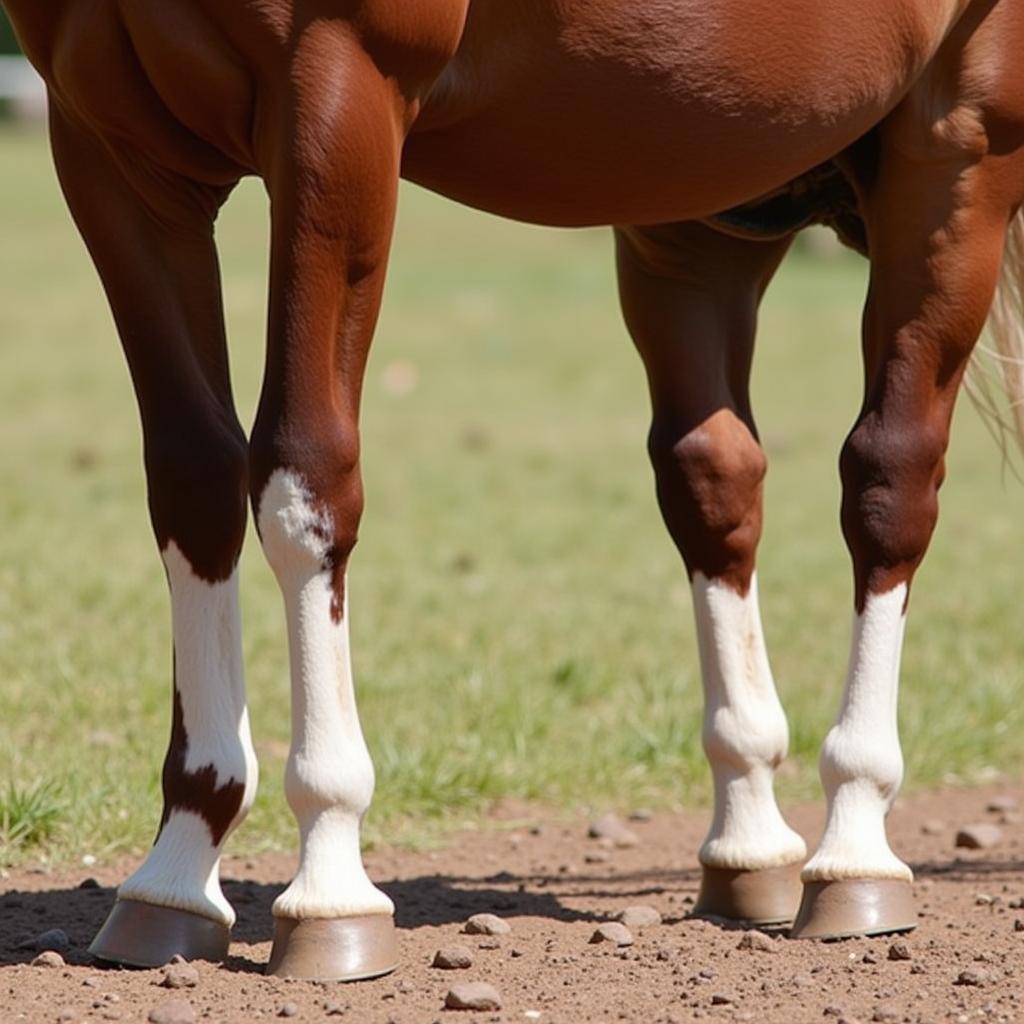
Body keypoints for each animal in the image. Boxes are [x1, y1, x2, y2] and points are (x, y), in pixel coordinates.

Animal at [4, 0, 1019, 983]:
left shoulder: (336, 92)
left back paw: (855, 849)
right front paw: (177, 872)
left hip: (956, 151)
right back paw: (752, 838)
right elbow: (192, 481)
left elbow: (303, 484)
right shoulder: (108, 142)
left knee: (889, 480)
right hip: (700, 186)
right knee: (716, 478)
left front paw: (330, 881)